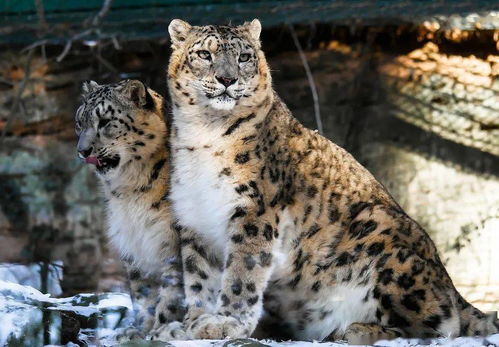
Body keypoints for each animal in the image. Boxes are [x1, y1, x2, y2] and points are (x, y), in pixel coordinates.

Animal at [76, 79, 188, 340]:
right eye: (79, 122)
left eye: (105, 121)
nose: (82, 151)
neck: (130, 192)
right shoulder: (132, 241)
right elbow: (142, 291)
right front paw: (138, 330)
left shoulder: (172, 240)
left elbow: (172, 289)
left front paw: (162, 329)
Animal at [166, 17, 498, 344]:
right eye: (204, 54)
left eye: (244, 57)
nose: (227, 79)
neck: (204, 134)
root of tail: (450, 284)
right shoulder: (195, 217)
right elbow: (198, 277)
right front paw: (194, 322)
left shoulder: (253, 210)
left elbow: (242, 271)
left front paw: (227, 322)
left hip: (385, 242)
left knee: (439, 325)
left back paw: (358, 330)